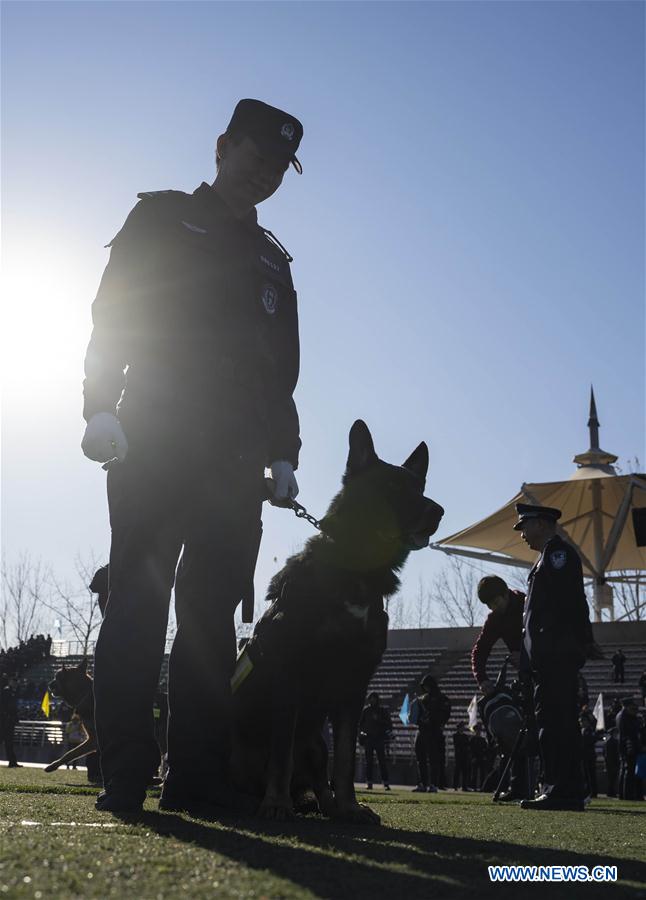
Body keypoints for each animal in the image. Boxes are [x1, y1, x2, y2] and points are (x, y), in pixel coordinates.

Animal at [232, 422, 446, 824]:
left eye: (420, 488)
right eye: (392, 487)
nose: (437, 512)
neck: (356, 572)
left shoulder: (355, 683)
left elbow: (345, 758)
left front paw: (349, 806)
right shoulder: (291, 673)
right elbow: (281, 754)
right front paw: (276, 804)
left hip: (316, 742)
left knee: (319, 776)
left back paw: (330, 807)